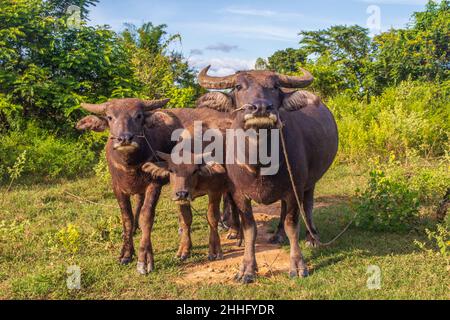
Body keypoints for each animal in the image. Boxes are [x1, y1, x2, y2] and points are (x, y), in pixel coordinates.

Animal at [197, 65, 338, 282]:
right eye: (238, 86)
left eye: (275, 86)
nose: (261, 108)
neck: (260, 163)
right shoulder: (239, 194)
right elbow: (250, 229)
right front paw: (247, 268)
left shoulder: (294, 188)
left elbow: (292, 225)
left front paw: (298, 265)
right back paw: (277, 234)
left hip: (310, 182)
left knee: (307, 205)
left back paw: (312, 237)